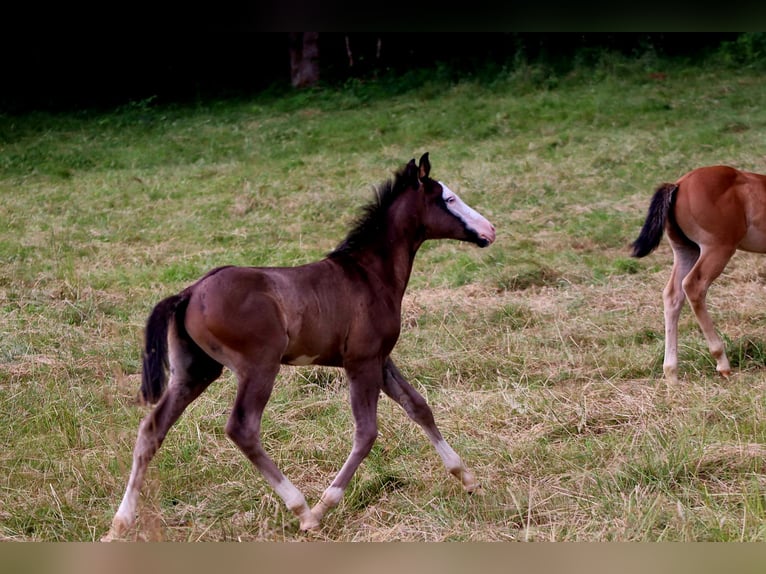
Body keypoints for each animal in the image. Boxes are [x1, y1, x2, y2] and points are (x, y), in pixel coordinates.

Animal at [102, 153, 496, 540]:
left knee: (152, 430)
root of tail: (188, 293)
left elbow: (418, 407)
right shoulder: (362, 361)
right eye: (448, 199)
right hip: (260, 366)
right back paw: (303, 510)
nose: (490, 230)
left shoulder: (380, 359)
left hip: (195, 371)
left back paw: (120, 523)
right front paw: (324, 505)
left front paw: (467, 478)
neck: (368, 274)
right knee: (241, 428)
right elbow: (366, 433)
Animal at [632, 165, 766, 383]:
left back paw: (671, 374)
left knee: (672, 295)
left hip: (686, 250)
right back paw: (721, 362)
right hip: (718, 248)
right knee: (693, 286)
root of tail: (678, 185)